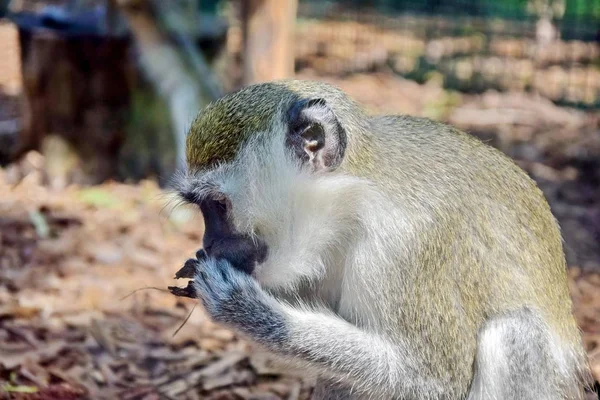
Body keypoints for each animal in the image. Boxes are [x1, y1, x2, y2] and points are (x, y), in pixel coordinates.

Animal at [169, 79, 592, 398]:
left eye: (218, 206)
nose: (208, 245)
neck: (355, 198)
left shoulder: (406, 243)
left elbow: (434, 380)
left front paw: (247, 309)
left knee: (516, 333)